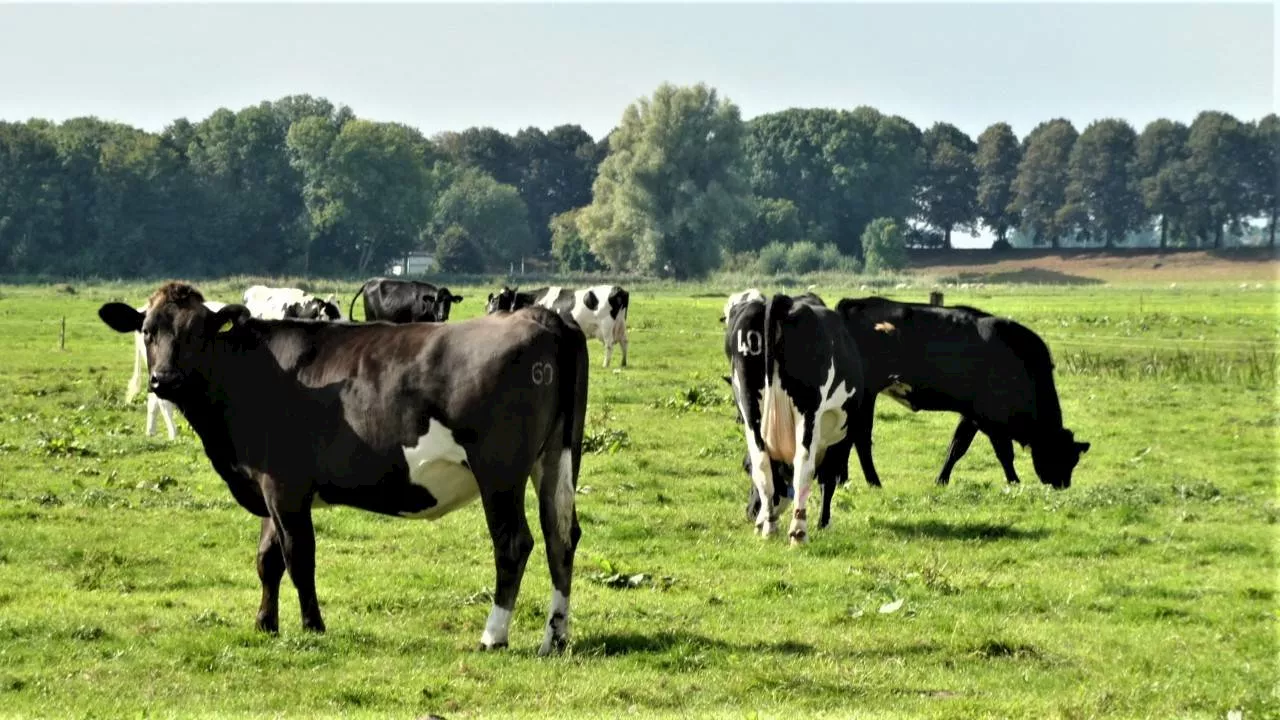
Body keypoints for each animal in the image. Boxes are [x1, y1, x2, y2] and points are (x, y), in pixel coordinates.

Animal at [98, 281, 588, 655]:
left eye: (198, 332)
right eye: (147, 331)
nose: (163, 380)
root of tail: (540, 317)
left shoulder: (284, 485)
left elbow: (299, 557)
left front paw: (312, 626)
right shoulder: (269, 485)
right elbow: (267, 559)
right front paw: (264, 624)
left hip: (499, 471)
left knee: (513, 543)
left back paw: (493, 636)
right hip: (556, 459)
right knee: (560, 535)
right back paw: (556, 636)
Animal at [483, 283, 629, 366]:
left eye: (495, 301)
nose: (489, 312)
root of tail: (619, 289)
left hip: (607, 325)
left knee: (609, 345)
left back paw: (606, 364)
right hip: (621, 325)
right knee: (624, 342)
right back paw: (623, 363)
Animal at [727, 288, 865, 540]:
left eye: (745, 468)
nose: (751, 512)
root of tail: (784, 302)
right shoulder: (840, 437)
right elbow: (827, 480)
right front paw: (823, 523)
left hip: (749, 406)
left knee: (762, 462)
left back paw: (770, 527)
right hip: (808, 413)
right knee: (803, 466)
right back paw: (798, 532)